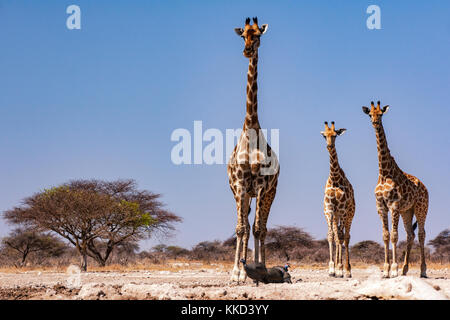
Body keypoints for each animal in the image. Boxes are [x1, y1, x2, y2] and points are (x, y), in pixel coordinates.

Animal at [362, 100, 428, 278]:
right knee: (411, 234)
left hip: (421, 208)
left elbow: (394, 236)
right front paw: (386, 270)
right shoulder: (381, 207)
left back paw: (422, 270)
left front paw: (393, 269)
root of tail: (425, 187)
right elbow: (385, 235)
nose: (375, 122)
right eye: (370, 114)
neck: (384, 173)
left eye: (381, 114)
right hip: (407, 211)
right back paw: (405, 269)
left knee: (421, 234)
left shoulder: (394, 206)